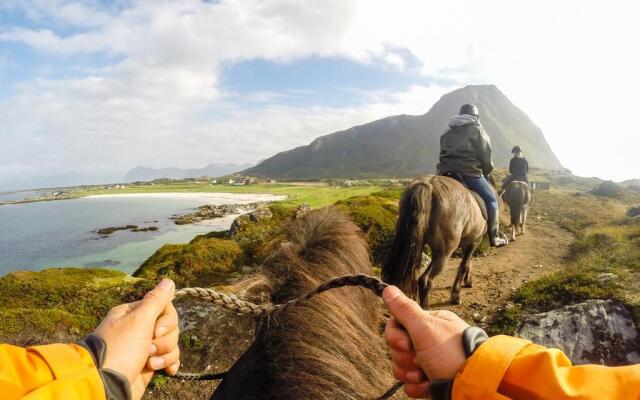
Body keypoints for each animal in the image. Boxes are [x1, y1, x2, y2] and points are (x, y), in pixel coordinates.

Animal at [380, 173, 490, 308]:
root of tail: (428, 184)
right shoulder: (474, 242)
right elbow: (464, 265)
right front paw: (456, 296)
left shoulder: (468, 243)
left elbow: (468, 263)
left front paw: (468, 281)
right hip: (443, 253)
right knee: (425, 280)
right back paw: (425, 308)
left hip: (417, 248)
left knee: (414, 278)